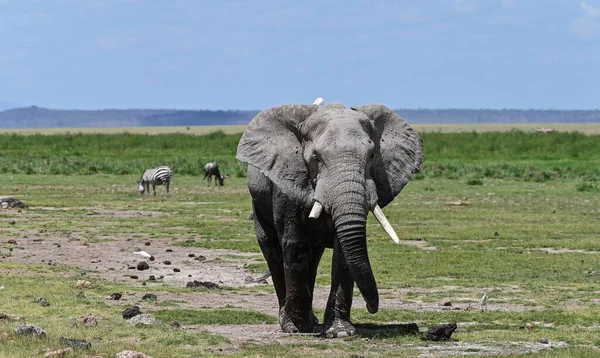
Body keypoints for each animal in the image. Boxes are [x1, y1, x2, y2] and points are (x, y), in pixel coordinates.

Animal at [234, 98, 422, 338]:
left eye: (372, 156)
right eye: (315, 158)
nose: (372, 307)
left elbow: (343, 251)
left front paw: (340, 332)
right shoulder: (289, 182)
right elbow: (295, 245)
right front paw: (297, 328)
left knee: (313, 259)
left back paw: (312, 320)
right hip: (258, 203)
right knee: (274, 252)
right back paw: (289, 321)